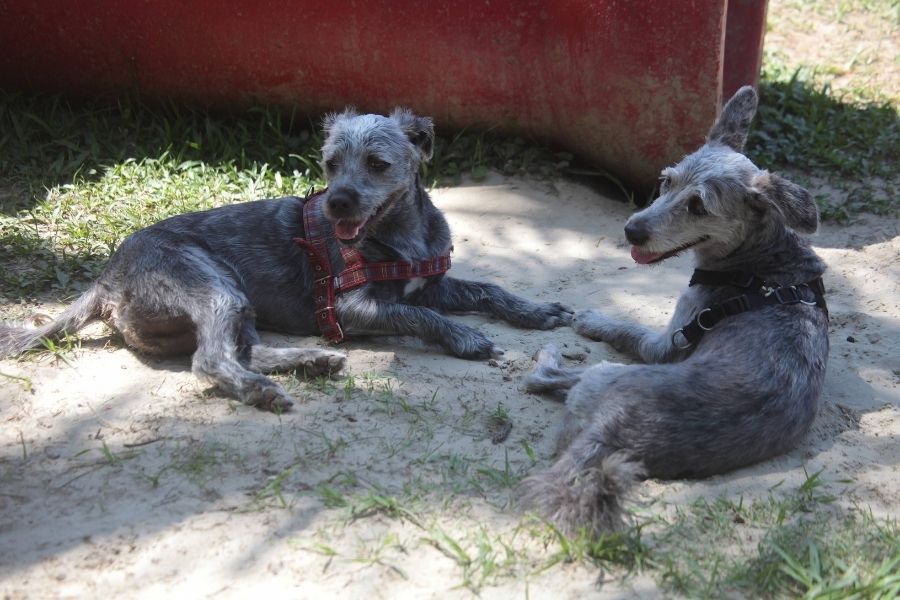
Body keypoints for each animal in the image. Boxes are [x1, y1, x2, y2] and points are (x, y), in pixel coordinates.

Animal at [524, 86, 832, 532]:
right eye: (666, 181)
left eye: (699, 206)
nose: (631, 230)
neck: (763, 264)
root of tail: (614, 434)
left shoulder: (670, 340)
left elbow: (630, 330)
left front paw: (594, 319)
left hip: (605, 374)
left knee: (543, 379)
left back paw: (547, 356)